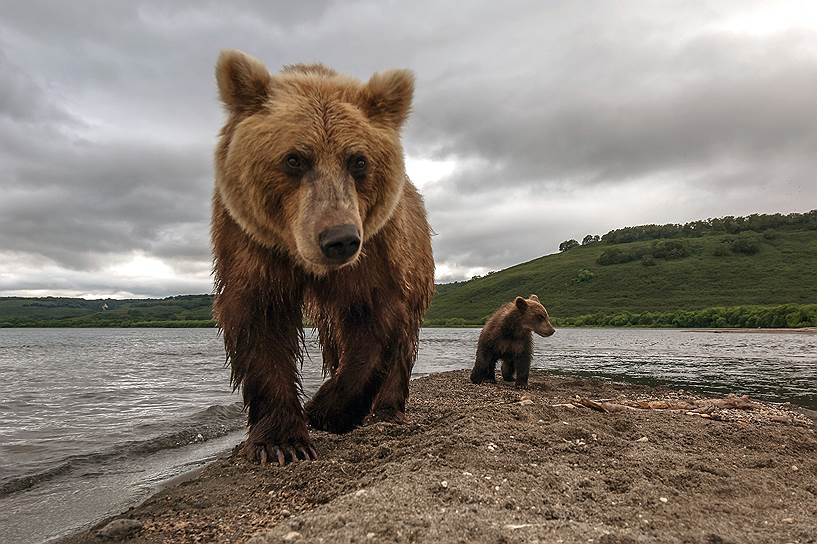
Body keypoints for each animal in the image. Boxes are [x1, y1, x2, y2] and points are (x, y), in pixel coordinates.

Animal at [214, 51, 436, 466]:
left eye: (358, 160)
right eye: (294, 159)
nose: (339, 239)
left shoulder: (376, 251)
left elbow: (375, 321)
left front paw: (326, 410)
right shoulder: (252, 244)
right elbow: (261, 319)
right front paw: (282, 442)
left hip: (417, 263)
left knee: (403, 339)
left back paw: (388, 410)